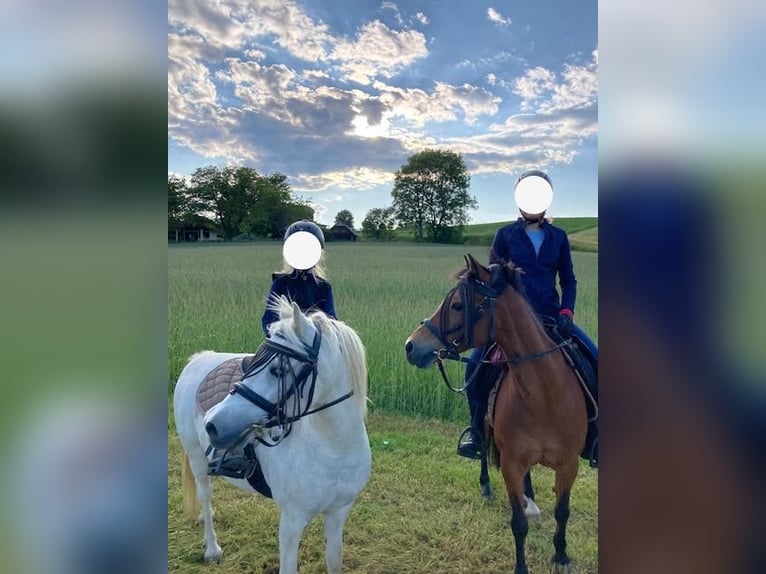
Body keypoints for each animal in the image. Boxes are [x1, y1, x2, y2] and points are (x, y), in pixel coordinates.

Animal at [177, 300, 376, 572]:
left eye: (278, 370)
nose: (212, 423)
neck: (335, 449)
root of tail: (198, 359)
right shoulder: (292, 521)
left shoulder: (338, 513)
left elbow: (334, 562)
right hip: (197, 458)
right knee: (205, 496)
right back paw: (212, 549)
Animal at [408, 256, 588, 574]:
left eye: (458, 305)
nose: (411, 346)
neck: (544, 394)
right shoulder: (511, 464)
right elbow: (518, 524)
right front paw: (521, 567)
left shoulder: (569, 464)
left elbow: (562, 511)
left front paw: (561, 555)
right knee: (481, 446)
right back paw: (488, 487)